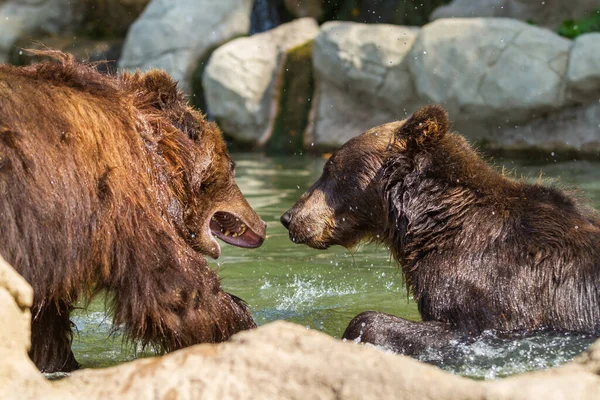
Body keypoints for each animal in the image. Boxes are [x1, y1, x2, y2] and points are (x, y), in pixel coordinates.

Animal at [0, 51, 268, 374]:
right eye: (232, 165)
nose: (263, 225)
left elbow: (45, 315)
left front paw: (57, 361)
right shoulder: (125, 199)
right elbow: (176, 288)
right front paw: (241, 324)